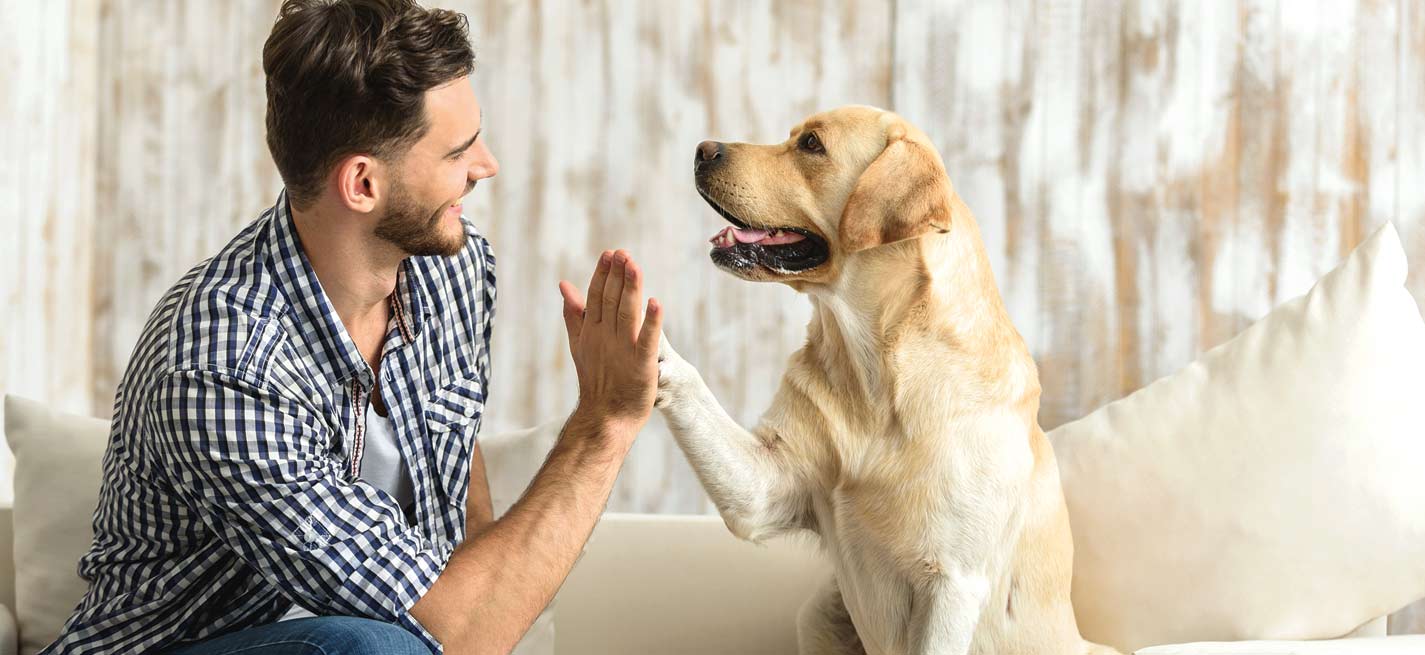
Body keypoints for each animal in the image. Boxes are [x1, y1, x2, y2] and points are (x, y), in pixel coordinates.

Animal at [652, 104, 1117, 652]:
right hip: (819, 612)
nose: (703, 150)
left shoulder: (953, 583)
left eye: (811, 144)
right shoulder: (764, 486)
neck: (874, 371)